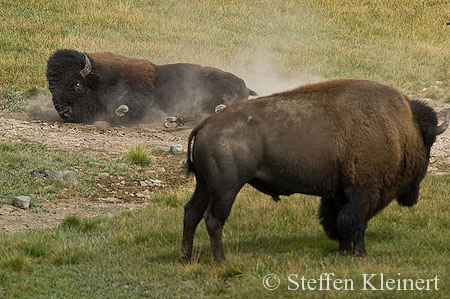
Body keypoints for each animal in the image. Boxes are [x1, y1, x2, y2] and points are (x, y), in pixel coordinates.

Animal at [47, 49, 256, 125]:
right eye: (51, 88)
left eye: (77, 85)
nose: (63, 111)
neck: (100, 78)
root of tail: (245, 85)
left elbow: (127, 106)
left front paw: (121, 110)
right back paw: (174, 120)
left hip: (224, 87)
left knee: (227, 102)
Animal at [181, 79, 448, 262]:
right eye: (429, 142)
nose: (414, 194)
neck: (400, 129)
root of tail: (205, 124)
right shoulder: (364, 194)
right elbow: (357, 222)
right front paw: (361, 254)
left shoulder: (340, 195)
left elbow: (339, 221)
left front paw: (344, 251)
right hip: (225, 189)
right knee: (213, 219)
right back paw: (220, 259)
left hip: (205, 186)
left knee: (191, 213)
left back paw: (187, 257)